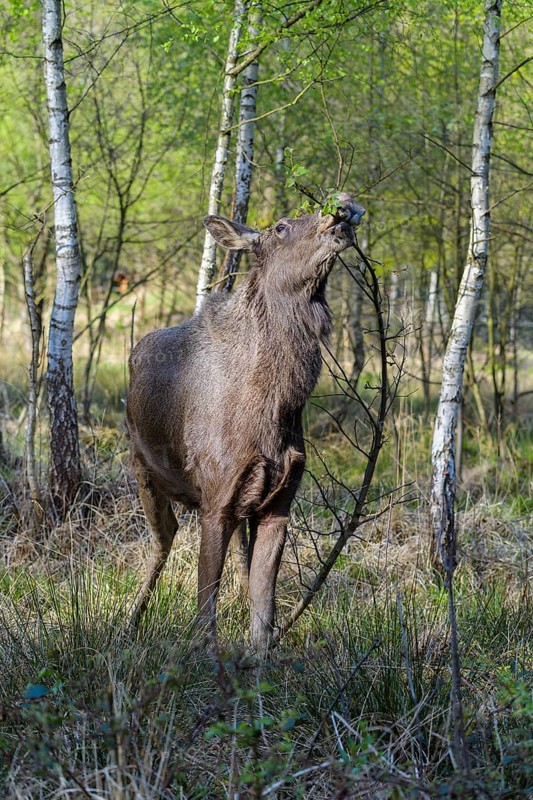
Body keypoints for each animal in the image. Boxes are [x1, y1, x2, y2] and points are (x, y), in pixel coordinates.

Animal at [126, 193, 365, 652]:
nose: (342, 206)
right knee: (163, 540)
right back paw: (129, 622)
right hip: (143, 470)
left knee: (234, 554)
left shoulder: (277, 505)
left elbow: (263, 613)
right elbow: (205, 608)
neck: (275, 408)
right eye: (280, 226)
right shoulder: (215, 501)